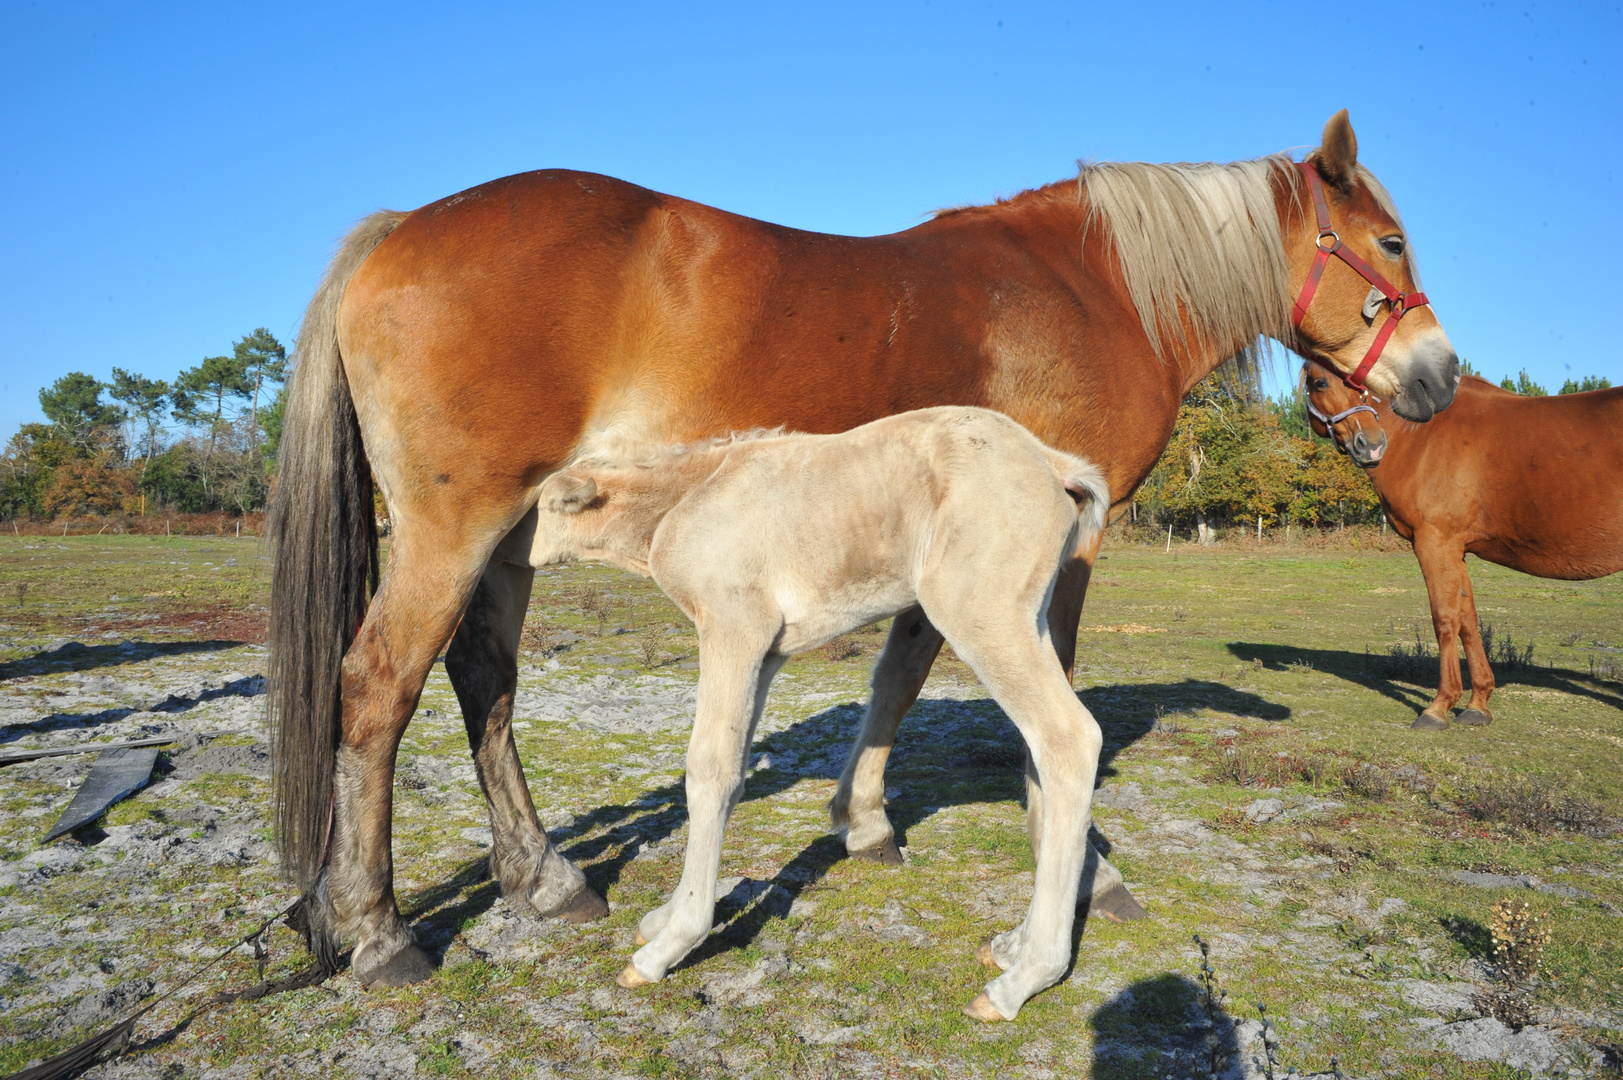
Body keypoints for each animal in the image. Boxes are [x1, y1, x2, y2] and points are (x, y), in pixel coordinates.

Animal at [538, 404, 1110, 1019]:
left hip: (982, 615)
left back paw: (1024, 978)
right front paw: (664, 917)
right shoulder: (766, 654)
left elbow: (710, 770)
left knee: (1069, 738)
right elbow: (735, 768)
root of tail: (1052, 465)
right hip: (1028, 620)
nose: (518, 556)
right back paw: (1012, 946)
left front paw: (668, 945)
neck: (687, 498)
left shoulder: (734, 627)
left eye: (543, 507)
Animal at [1304, 357, 1623, 727]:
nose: (1369, 444)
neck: (1418, 436)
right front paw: (1477, 704)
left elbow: (1445, 619)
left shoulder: (1434, 543)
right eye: (1320, 382)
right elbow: (1468, 620)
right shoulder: (1457, 550)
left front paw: (1438, 707)